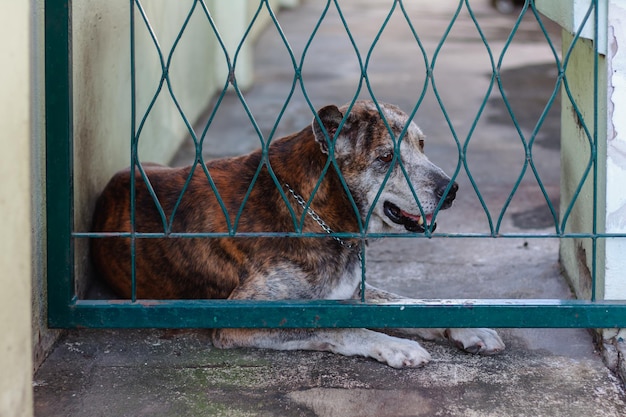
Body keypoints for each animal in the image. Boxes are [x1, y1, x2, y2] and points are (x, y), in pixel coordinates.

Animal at [91, 101, 502, 368]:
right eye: (386, 158)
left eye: (421, 145)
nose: (452, 190)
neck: (318, 209)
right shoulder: (243, 316)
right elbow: (341, 329)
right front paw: (397, 346)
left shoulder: (352, 290)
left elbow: (414, 303)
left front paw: (471, 326)